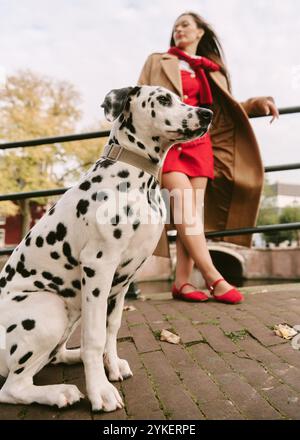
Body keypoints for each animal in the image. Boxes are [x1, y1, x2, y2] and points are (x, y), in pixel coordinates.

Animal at [0, 87, 212, 412]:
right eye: (164, 99)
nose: (207, 113)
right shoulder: (99, 267)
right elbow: (96, 336)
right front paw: (100, 390)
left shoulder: (122, 281)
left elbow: (111, 328)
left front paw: (110, 365)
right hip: (48, 310)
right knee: (13, 388)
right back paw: (59, 393)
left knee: (56, 355)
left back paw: (74, 357)